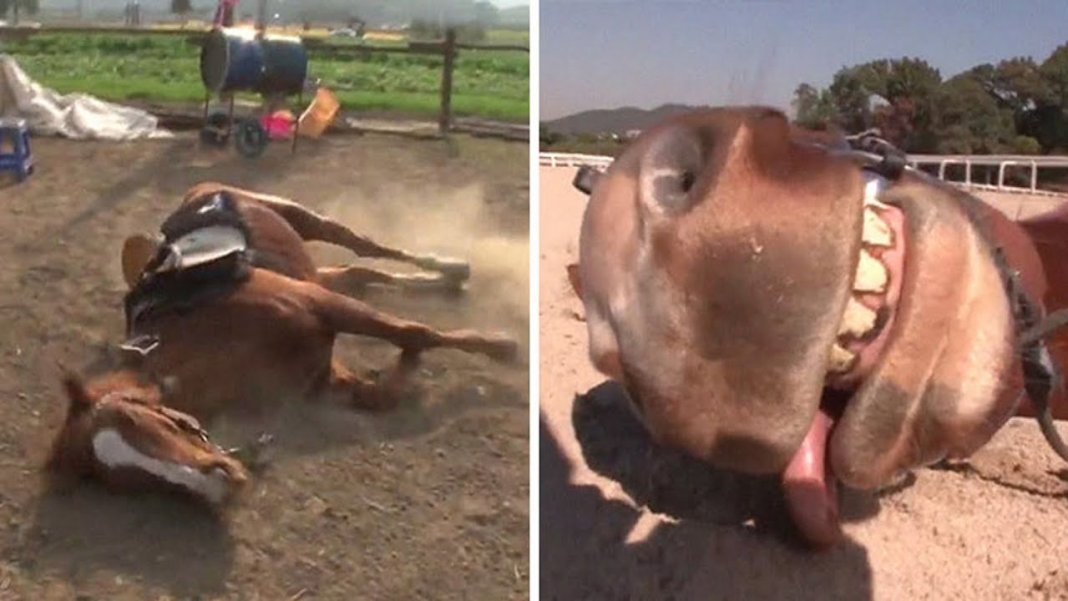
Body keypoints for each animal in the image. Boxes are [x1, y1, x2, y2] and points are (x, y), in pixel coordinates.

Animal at [45, 183, 516, 508]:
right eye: (130, 481)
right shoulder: (323, 373)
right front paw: (405, 370)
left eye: (144, 422)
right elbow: (383, 391)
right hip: (316, 272)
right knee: (359, 272)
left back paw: (449, 266)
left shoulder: (322, 305)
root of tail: (201, 192)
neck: (209, 336)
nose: (220, 485)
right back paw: (441, 280)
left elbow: (417, 332)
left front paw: (503, 346)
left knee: (365, 247)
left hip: (303, 219)